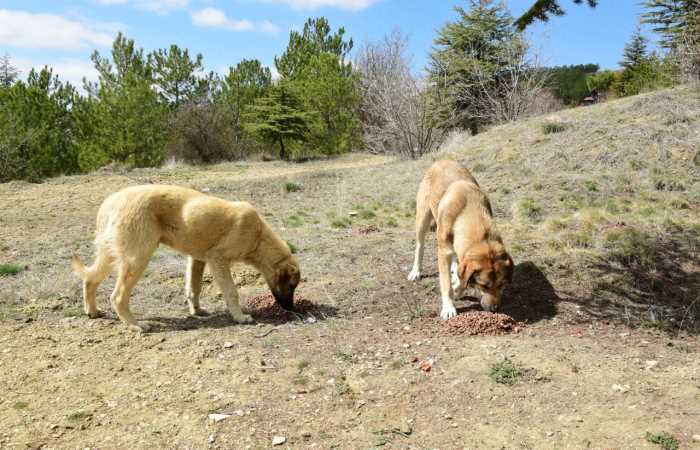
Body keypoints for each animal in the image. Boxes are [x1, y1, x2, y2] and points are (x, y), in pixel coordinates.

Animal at [72, 185, 300, 332]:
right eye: (291, 286)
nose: (291, 308)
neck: (258, 237)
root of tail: (111, 201)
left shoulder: (198, 259)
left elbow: (194, 288)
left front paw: (197, 311)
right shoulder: (218, 258)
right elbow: (231, 292)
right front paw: (240, 317)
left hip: (112, 255)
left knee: (90, 279)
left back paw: (92, 311)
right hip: (138, 257)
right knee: (118, 296)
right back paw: (135, 325)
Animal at [404, 160, 516, 318]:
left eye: (501, 284)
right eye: (483, 285)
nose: (494, 309)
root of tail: (442, 160)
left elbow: (462, 278)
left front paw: (458, 288)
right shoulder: (443, 253)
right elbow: (446, 284)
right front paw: (449, 307)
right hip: (422, 219)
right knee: (420, 246)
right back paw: (416, 271)